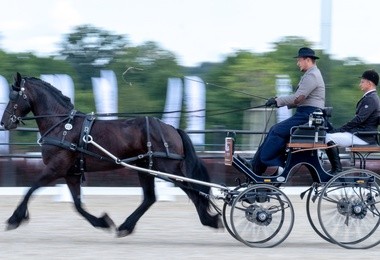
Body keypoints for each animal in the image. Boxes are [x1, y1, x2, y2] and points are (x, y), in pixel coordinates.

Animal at [0, 72, 221, 236]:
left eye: (13, 97)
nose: (4, 122)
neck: (63, 125)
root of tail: (171, 128)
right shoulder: (71, 173)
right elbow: (77, 205)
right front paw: (103, 222)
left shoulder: (56, 168)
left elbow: (31, 189)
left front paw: (14, 218)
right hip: (144, 167)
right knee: (150, 197)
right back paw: (125, 227)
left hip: (168, 167)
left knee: (194, 191)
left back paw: (210, 219)